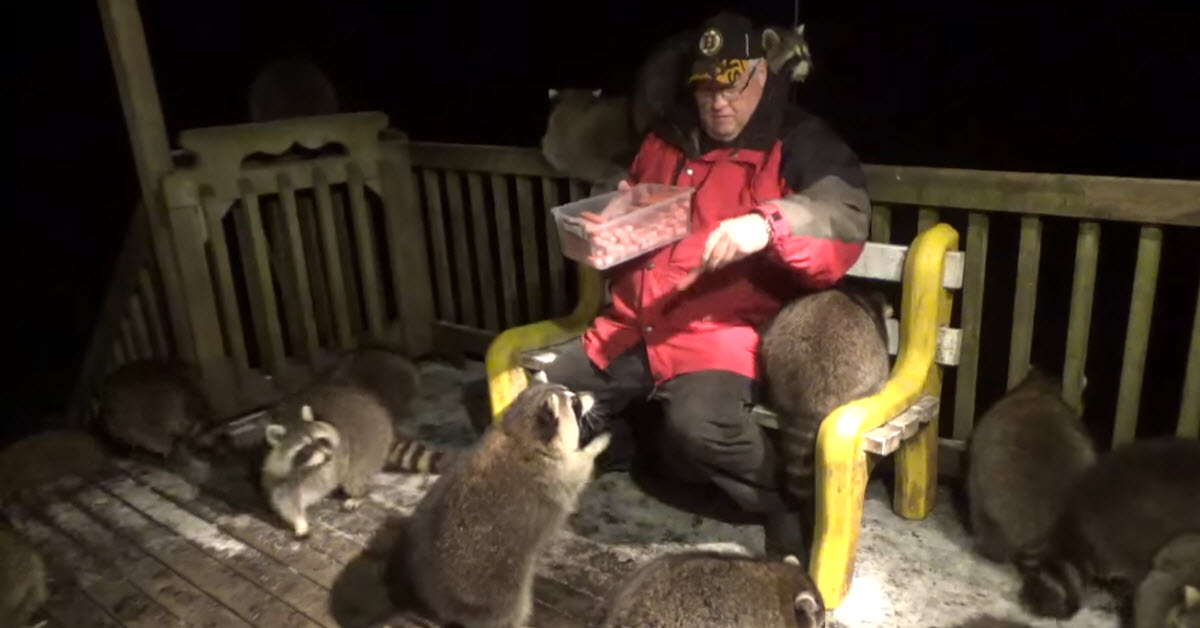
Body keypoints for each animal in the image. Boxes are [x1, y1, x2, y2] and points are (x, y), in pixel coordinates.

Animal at [384, 382, 609, 628]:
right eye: (574, 403)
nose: (592, 395)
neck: (520, 433)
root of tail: (434, 596)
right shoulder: (554, 476)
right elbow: (578, 470)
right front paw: (595, 446)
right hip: (498, 589)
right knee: (510, 610)